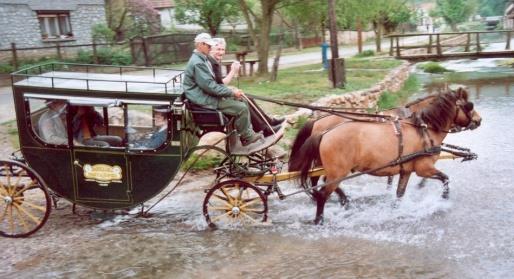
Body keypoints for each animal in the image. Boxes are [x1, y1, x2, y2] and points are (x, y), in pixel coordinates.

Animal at [288, 88, 480, 225]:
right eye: (469, 105)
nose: (479, 120)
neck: (424, 130)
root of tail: (324, 132)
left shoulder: (405, 170)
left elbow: (399, 194)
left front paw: (394, 210)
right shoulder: (423, 168)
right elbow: (445, 179)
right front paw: (443, 199)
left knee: (317, 183)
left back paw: (339, 201)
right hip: (337, 172)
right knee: (322, 193)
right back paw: (320, 219)